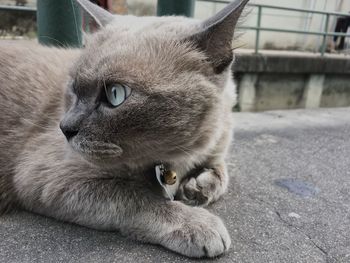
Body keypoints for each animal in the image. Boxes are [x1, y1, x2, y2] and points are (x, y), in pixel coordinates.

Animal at [0, 0, 249, 260]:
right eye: (74, 89)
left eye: (115, 94)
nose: (64, 128)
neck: (178, 157)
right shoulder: (44, 174)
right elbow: (137, 196)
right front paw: (198, 224)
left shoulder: (215, 147)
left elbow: (220, 172)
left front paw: (197, 188)